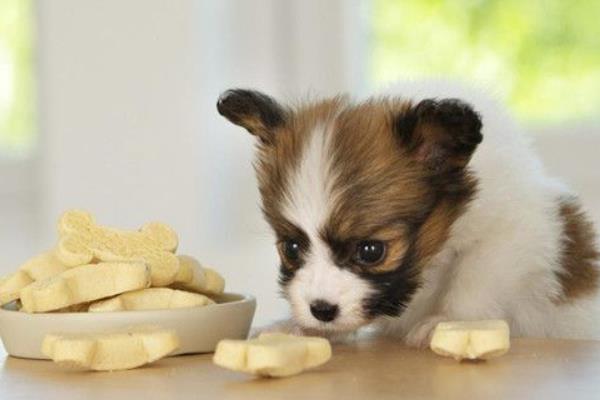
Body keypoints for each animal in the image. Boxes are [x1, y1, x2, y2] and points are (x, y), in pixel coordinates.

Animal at [218, 82, 596, 346]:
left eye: (372, 251)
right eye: (291, 248)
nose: (321, 310)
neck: (434, 256)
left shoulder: (513, 234)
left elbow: (474, 279)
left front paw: (449, 320)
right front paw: (301, 327)